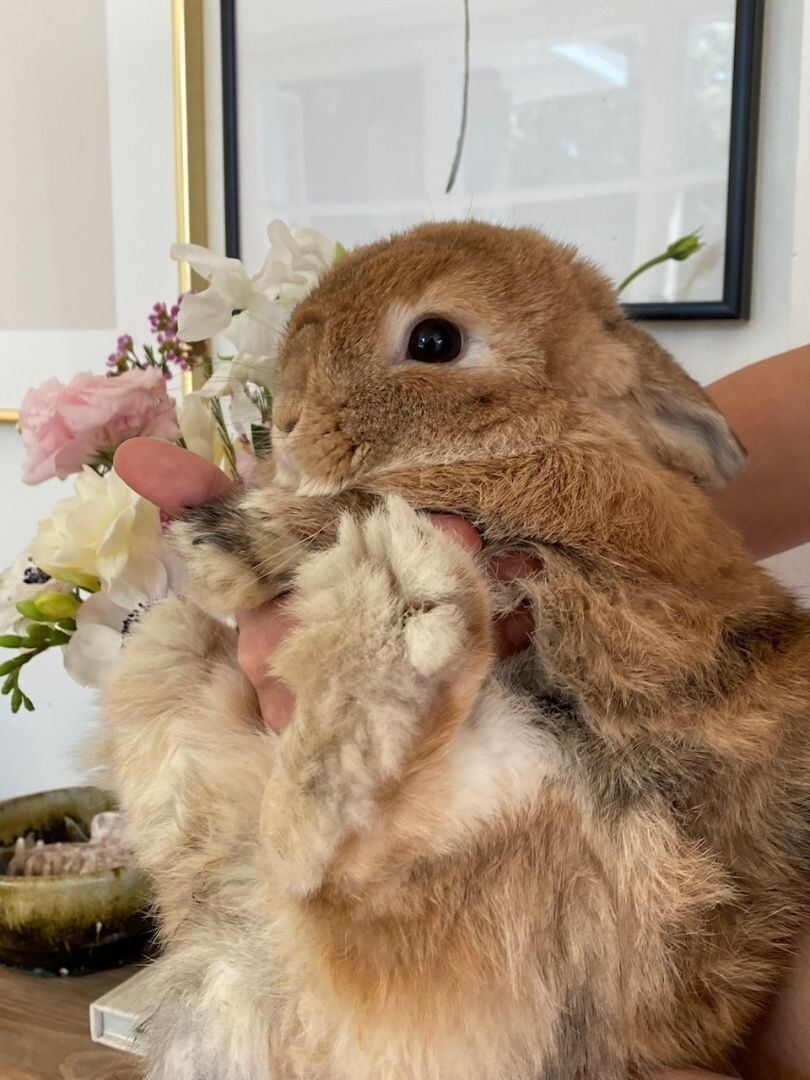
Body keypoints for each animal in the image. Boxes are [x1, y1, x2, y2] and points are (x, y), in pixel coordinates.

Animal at [99, 221, 810, 1080]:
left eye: (434, 340)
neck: (553, 425)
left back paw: (395, 586)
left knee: (335, 858)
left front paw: (238, 538)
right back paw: (183, 626)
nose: (290, 421)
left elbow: (415, 492)